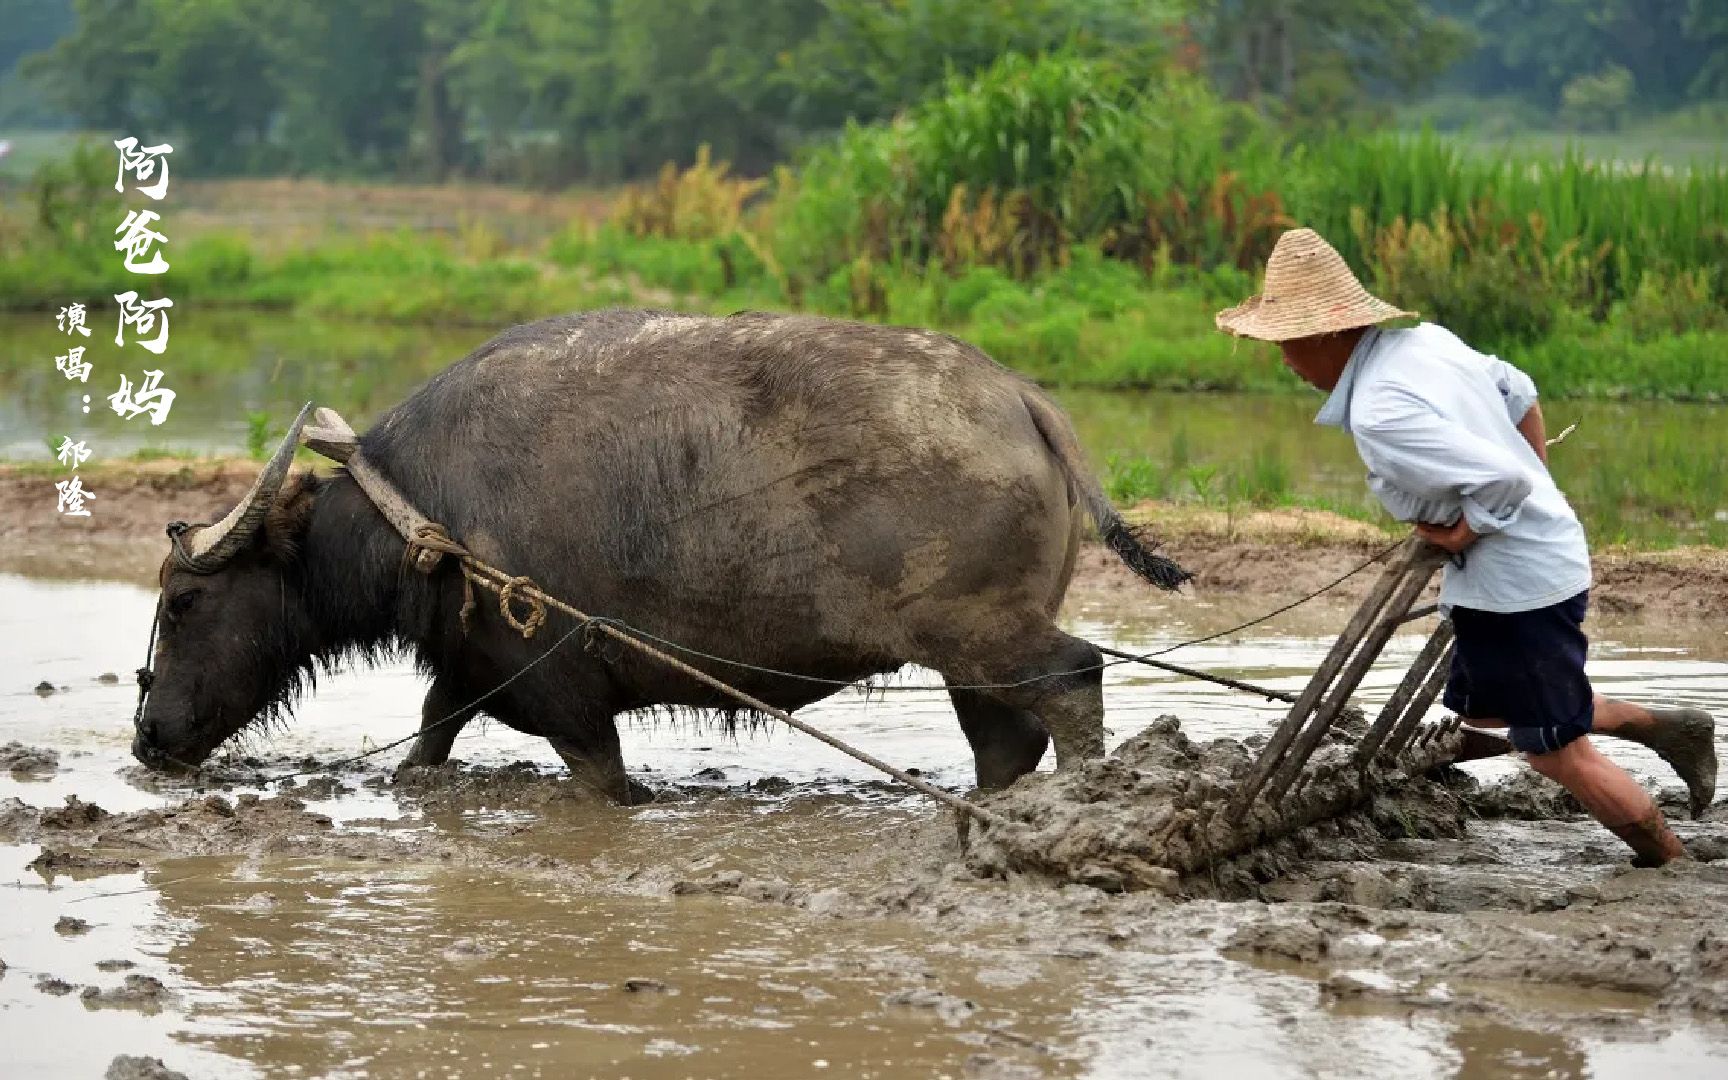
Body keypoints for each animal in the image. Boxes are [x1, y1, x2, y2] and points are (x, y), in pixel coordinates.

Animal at [131, 307, 1188, 794]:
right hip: (969, 653)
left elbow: (602, 776)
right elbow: (428, 738)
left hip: (984, 631)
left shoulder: (567, 696)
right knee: (1008, 738)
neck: (431, 516)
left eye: (184, 604)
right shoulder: (473, 667)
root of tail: (1020, 396)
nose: (146, 738)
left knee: (1074, 677)